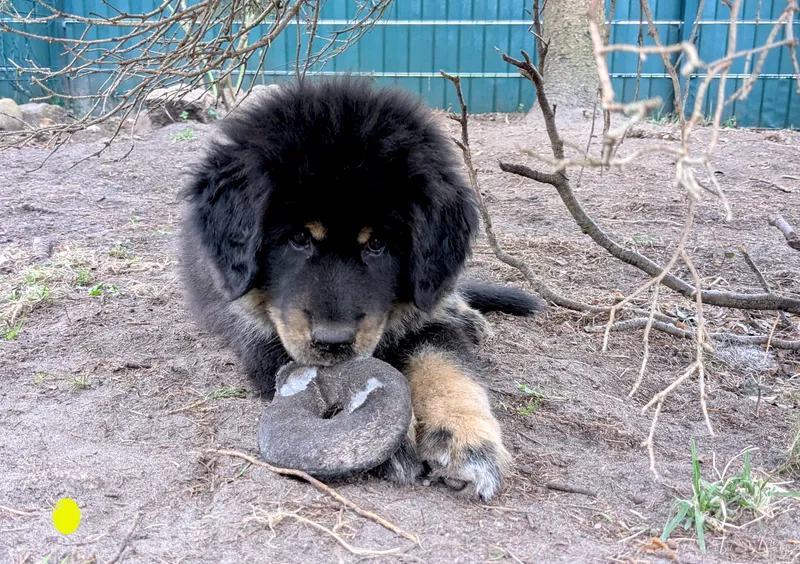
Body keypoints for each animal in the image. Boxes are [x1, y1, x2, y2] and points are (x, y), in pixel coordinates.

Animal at [179, 77, 546, 500]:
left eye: (377, 244)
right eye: (298, 238)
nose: (333, 342)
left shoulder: (425, 322)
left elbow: (448, 365)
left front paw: (464, 440)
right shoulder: (260, 335)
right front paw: (392, 439)